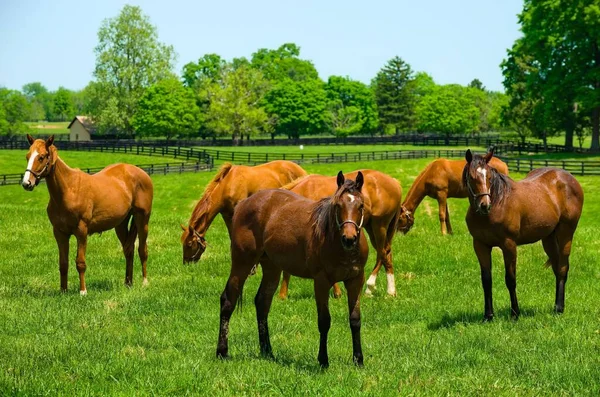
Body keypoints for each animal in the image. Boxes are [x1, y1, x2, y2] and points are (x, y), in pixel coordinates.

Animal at [22, 135, 155, 292]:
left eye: (41, 157)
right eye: (27, 156)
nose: (26, 183)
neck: (69, 190)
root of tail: (142, 173)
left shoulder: (81, 231)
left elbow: (80, 262)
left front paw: (83, 291)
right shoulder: (60, 233)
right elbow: (63, 263)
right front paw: (63, 291)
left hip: (143, 219)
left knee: (142, 250)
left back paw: (145, 282)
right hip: (121, 224)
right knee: (129, 251)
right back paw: (128, 283)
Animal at [213, 172, 368, 366]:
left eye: (361, 205)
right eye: (338, 205)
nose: (349, 238)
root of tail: (243, 203)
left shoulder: (355, 280)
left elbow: (355, 319)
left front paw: (358, 360)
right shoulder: (321, 281)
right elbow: (324, 321)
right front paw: (323, 360)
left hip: (271, 268)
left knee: (262, 302)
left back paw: (267, 351)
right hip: (242, 263)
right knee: (228, 300)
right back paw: (222, 351)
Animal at [462, 148, 584, 318]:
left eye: (490, 177)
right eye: (472, 177)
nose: (484, 205)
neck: (499, 203)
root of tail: (569, 178)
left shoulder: (509, 245)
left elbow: (510, 279)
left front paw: (515, 313)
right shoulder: (480, 245)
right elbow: (486, 280)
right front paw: (488, 316)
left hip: (566, 233)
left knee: (562, 268)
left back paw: (559, 308)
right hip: (548, 239)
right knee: (556, 267)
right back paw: (555, 306)